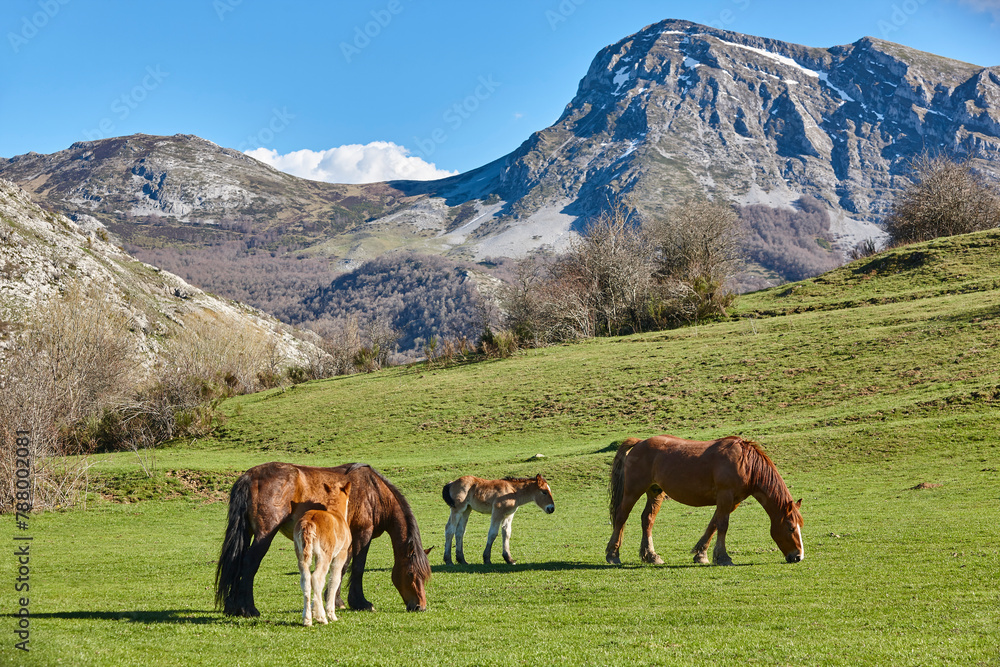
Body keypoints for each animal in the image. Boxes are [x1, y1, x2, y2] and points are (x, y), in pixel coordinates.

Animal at [217, 462, 432, 620]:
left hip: (247, 533)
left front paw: (336, 601)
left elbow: (342, 568)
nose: (420, 606)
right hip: (264, 535)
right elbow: (356, 568)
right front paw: (360, 603)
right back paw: (248, 609)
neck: (374, 493)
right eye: (411, 573)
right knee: (249, 564)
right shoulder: (363, 534)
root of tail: (249, 476)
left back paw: (233, 606)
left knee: (236, 563)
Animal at [600, 436, 804, 568]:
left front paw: (701, 554)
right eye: (791, 528)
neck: (746, 463)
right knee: (621, 518)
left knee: (647, 520)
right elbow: (722, 525)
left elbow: (713, 524)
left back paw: (651, 556)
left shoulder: (732, 501)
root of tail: (639, 442)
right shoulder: (725, 496)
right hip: (633, 491)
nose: (798, 556)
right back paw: (613, 554)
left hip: (655, 492)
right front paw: (723, 557)